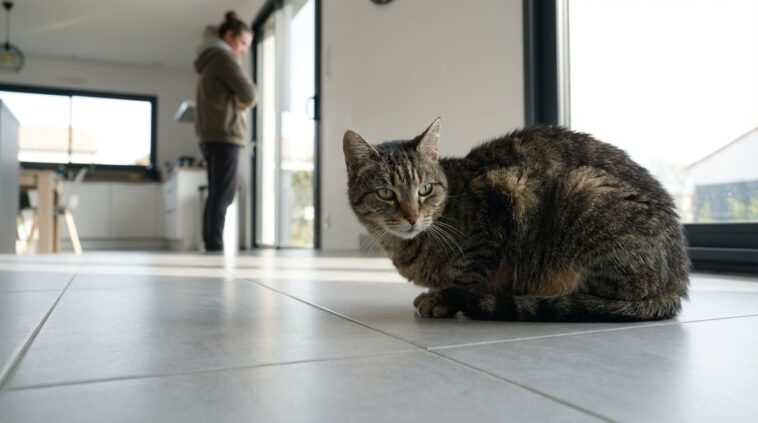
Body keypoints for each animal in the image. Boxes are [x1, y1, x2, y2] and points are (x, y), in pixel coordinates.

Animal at [343, 118, 689, 321]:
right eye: (385, 193)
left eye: (425, 189)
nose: (412, 217)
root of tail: (678, 278)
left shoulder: (503, 198)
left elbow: (463, 277)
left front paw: (441, 300)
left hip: (583, 188)